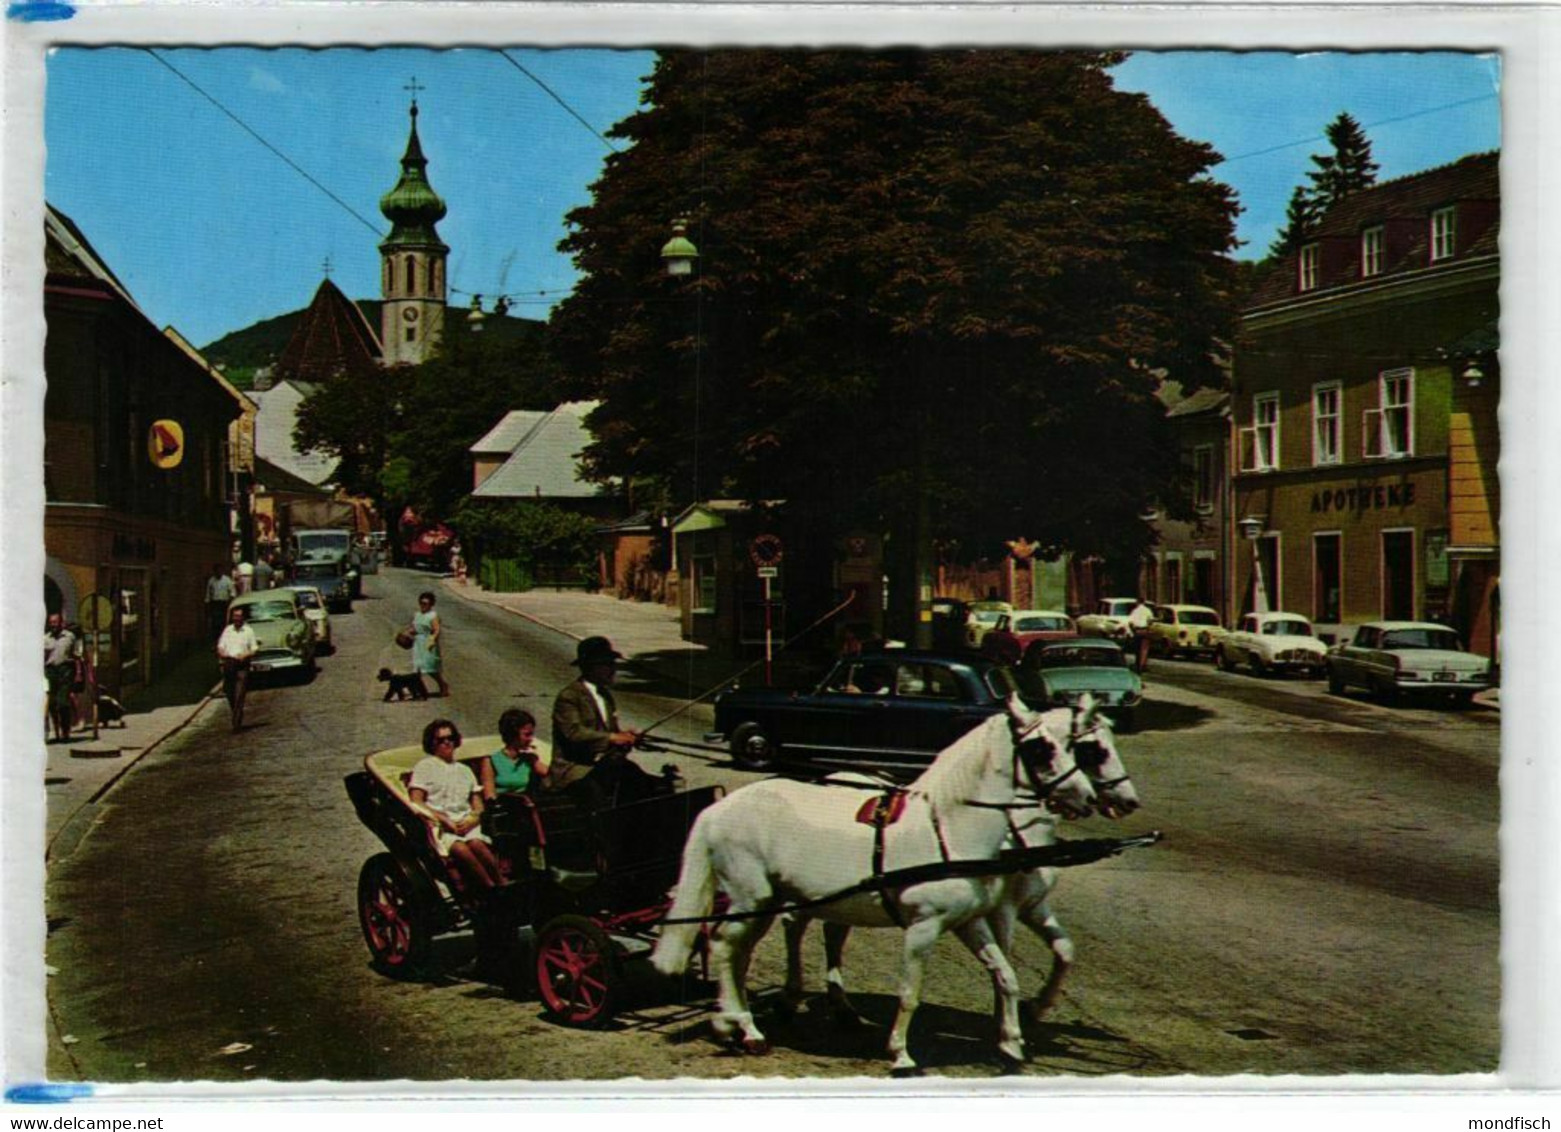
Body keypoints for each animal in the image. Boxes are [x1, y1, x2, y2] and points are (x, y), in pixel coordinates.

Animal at [652, 693, 1092, 1074]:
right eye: (1041, 748)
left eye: (1069, 745)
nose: (1087, 798)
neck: (948, 829)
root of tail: (718, 809)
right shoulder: (923, 927)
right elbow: (910, 993)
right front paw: (901, 1055)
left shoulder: (970, 921)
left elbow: (1006, 976)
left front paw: (1012, 1044)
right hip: (751, 897)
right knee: (726, 947)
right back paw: (742, 1026)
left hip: (769, 900)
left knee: (738, 952)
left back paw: (735, 1024)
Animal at [786, 696, 1142, 1043]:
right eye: (1095, 749)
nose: (1129, 801)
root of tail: (828, 779)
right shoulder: (1003, 909)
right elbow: (1006, 954)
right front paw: (1005, 1021)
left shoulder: (1032, 905)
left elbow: (1064, 950)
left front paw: (1035, 1007)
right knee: (797, 923)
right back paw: (796, 998)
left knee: (832, 931)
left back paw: (841, 1008)